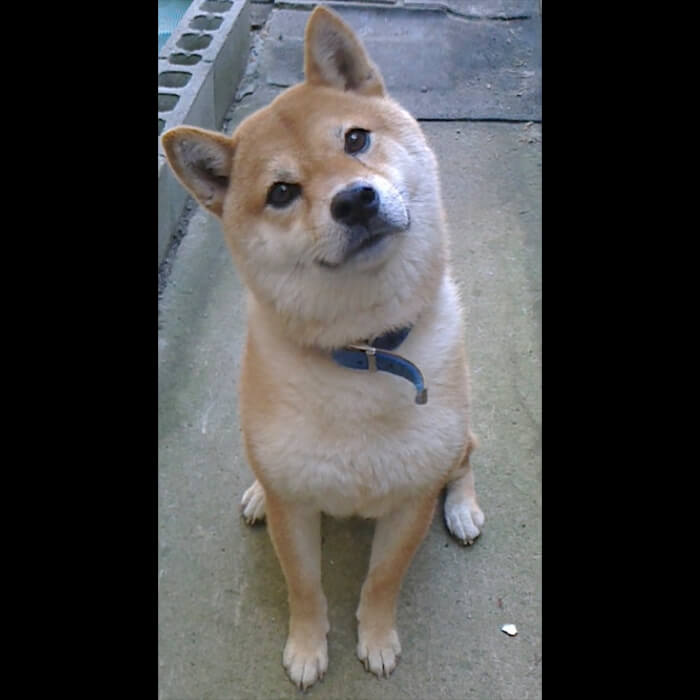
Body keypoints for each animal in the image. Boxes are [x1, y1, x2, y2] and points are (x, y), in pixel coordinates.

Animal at [162, 5, 484, 689]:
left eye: (356, 140)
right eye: (281, 192)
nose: (355, 199)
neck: (363, 351)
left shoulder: (410, 502)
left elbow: (382, 579)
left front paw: (377, 637)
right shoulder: (296, 511)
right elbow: (303, 585)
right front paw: (308, 647)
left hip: (457, 438)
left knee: (465, 453)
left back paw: (464, 507)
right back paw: (257, 493)